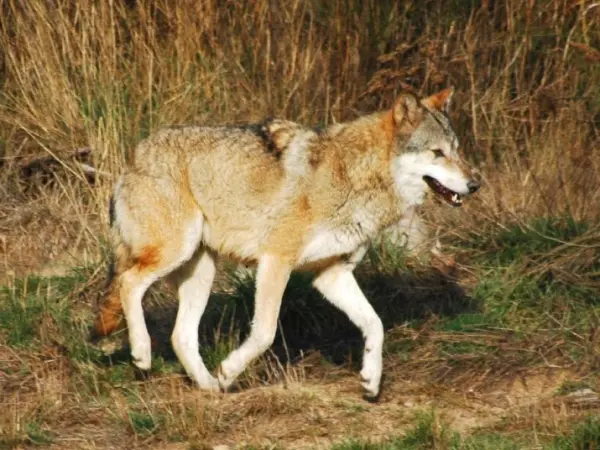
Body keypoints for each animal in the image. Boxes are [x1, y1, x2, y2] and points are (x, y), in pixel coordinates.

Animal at [92, 89, 478, 400]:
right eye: (437, 153)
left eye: (458, 151)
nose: (475, 184)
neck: (353, 176)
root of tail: (134, 156)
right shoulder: (276, 261)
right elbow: (264, 332)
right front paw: (230, 369)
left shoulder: (331, 274)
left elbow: (375, 325)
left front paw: (371, 380)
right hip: (174, 251)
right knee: (129, 284)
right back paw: (143, 353)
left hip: (200, 272)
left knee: (180, 336)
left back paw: (211, 388)